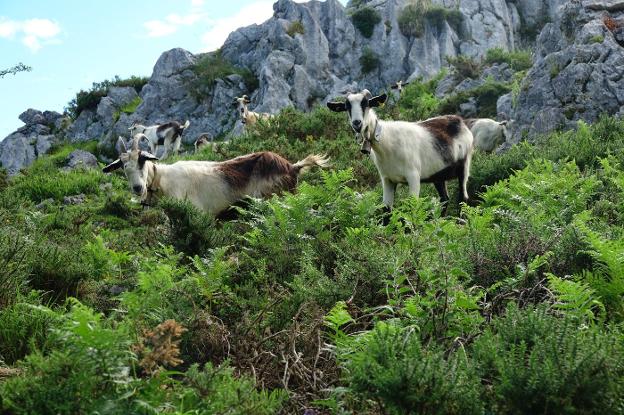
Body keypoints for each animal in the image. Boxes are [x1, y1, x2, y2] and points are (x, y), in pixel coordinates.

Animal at [326, 90, 472, 214]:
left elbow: (412, 208)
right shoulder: (387, 179)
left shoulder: (413, 176)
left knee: (463, 198)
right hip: (437, 174)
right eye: (347, 107)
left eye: (366, 104)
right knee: (444, 199)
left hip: (464, 164)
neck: (387, 142)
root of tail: (460, 121)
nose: (357, 123)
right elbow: (386, 211)